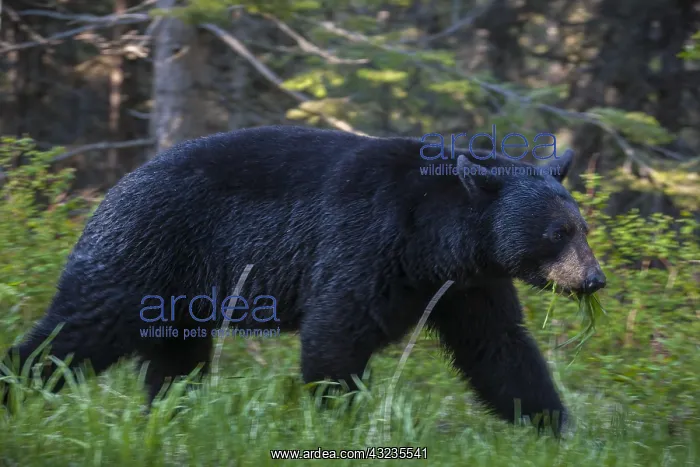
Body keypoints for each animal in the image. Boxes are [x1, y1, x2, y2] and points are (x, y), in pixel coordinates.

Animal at [1, 125, 606, 435]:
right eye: (557, 232)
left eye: (581, 228)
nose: (594, 279)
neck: (434, 241)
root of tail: (114, 188)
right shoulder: (366, 243)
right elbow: (337, 332)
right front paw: (338, 420)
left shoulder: (470, 286)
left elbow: (500, 349)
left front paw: (555, 426)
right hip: (147, 253)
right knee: (82, 326)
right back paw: (17, 386)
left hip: (179, 295)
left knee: (176, 358)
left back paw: (175, 416)